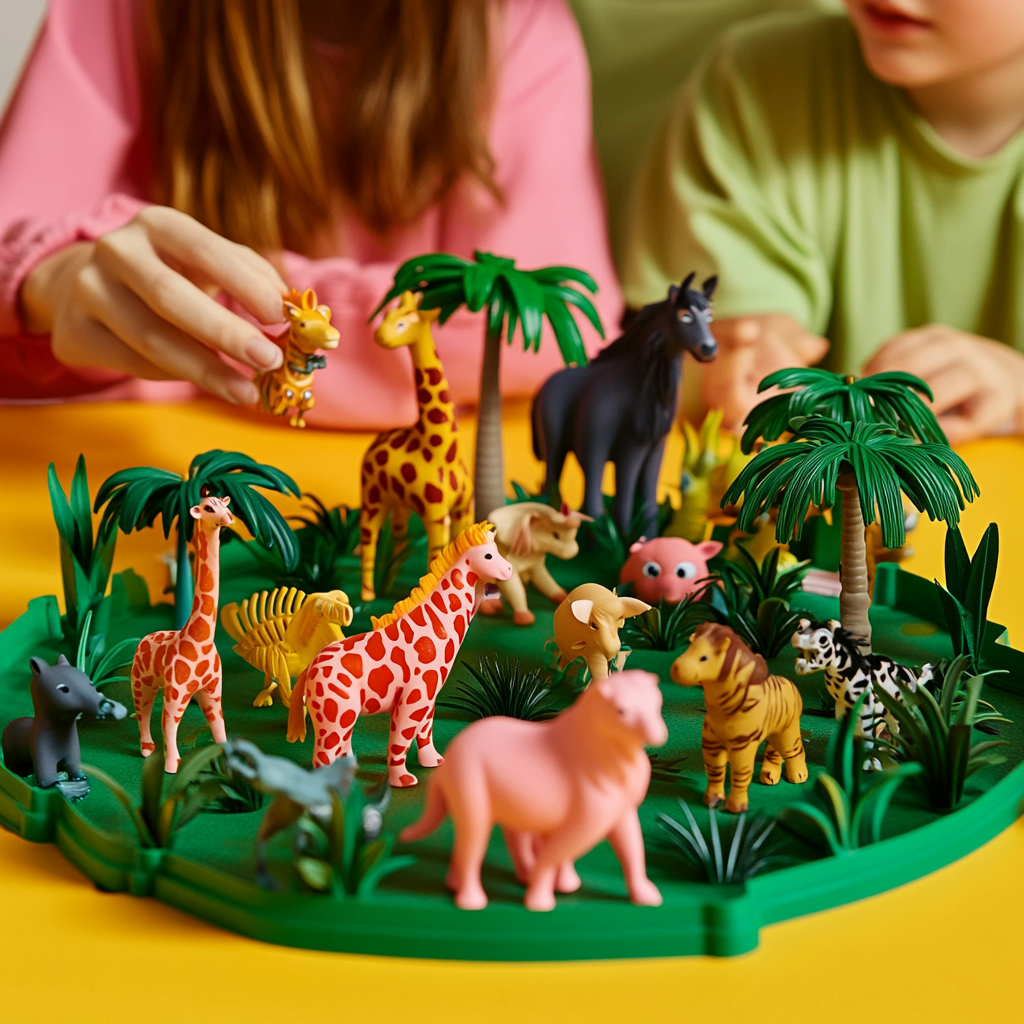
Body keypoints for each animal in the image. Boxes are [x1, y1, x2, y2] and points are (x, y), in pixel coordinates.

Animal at [129, 493, 233, 770]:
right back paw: (146, 748)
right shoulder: (177, 692)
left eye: (224, 505)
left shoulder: (213, 691)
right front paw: (171, 765)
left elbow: (220, 727)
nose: (229, 519)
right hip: (141, 680)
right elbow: (168, 725)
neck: (203, 640)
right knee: (143, 711)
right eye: (208, 508)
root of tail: (145, 638)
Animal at [286, 524, 512, 786]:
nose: (509, 568)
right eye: (488, 555)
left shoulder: (428, 698)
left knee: (340, 749)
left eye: (497, 551)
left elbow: (425, 733)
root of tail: (310, 667)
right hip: (335, 716)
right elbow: (400, 742)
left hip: (343, 715)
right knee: (322, 756)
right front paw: (402, 780)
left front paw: (433, 762)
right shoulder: (412, 699)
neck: (436, 629)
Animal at [671, 618, 806, 811]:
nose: (676, 668)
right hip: (776, 732)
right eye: (688, 649)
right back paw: (769, 776)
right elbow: (715, 772)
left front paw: (736, 807)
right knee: (774, 751)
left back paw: (799, 776)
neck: (723, 710)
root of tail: (791, 684)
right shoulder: (712, 744)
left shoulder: (743, 746)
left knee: (795, 751)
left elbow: (741, 774)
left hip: (788, 731)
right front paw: (712, 800)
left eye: (704, 657)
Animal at [786, 614, 933, 770]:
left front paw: (866, 763)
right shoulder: (844, 713)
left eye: (823, 639)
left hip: (899, 710)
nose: (796, 636)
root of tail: (912, 674)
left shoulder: (865, 714)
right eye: (800, 626)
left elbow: (866, 739)